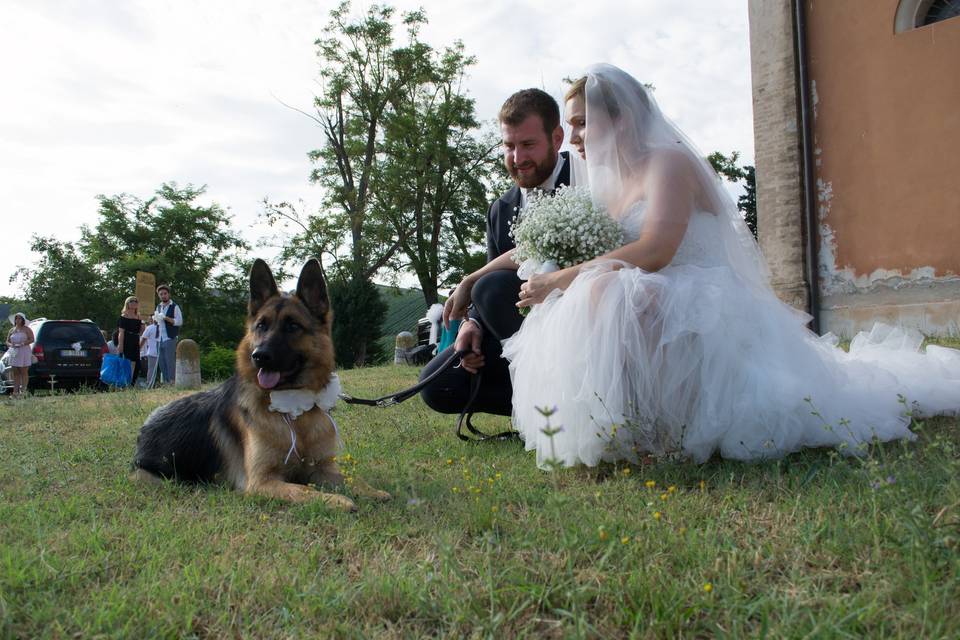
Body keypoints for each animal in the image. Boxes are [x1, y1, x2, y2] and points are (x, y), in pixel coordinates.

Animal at [132, 258, 390, 512]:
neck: (293, 411)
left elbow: (352, 479)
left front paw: (372, 491)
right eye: (261, 326)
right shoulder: (261, 482)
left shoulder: (323, 468)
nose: (259, 356)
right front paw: (337, 500)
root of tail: (146, 426)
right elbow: (304, 490)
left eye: (293, 326)